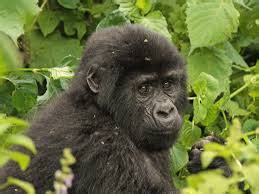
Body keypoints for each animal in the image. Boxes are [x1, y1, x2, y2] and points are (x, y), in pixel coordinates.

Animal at [0, 24, 228, 194]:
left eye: (167, 85)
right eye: (144, 89)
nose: (165, 111)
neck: (101, 109)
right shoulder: (107, 148)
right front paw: (222, 162)